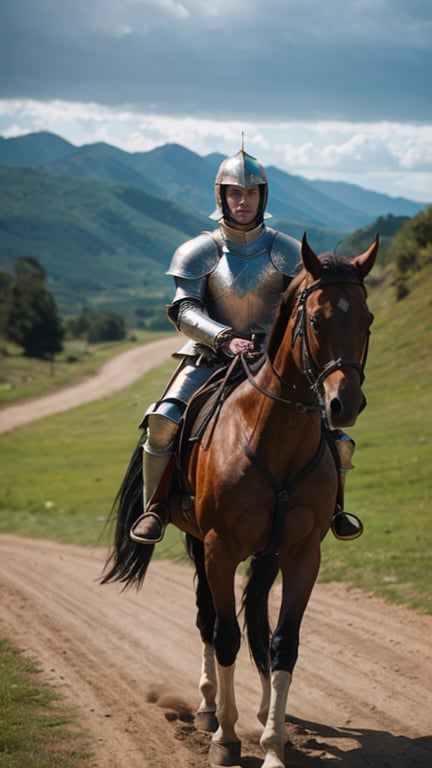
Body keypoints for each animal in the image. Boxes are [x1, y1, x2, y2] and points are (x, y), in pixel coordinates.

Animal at [102, 232, 378, 768]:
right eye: (316, 319)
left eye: (367, 319)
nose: (344, 404)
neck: (273, 437)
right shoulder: (219, 548)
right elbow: (225, 634)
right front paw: (225, 739)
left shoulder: (300, 553)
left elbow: (282, 642)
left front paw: (273, 744)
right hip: (196, 540)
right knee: (208, 621)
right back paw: (209, 710)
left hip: (265, 554)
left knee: (255, 623)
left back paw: (262, 713)